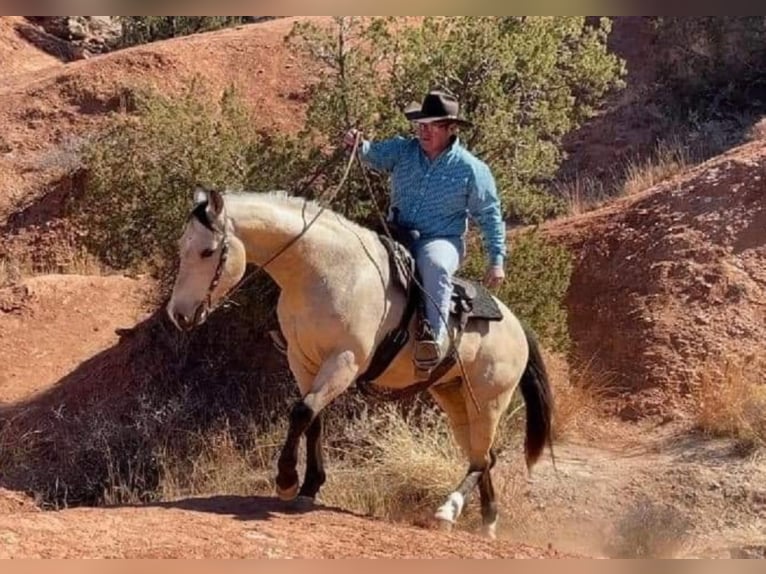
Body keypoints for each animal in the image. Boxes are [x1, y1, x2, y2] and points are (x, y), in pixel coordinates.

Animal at [165, 184, 556, 540]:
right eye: (183, 247)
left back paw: (447, 511)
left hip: (490, 400)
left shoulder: (345, 361)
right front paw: (309, 487)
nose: (178, 315)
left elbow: (302, 412)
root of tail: (517, 325)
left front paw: (287, 480)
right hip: (453, 396)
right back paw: (487, 522)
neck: (324, 270)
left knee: (482, 457)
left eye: (207, 251)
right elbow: (313, 418)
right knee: (482, 455)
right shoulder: (303, 361)